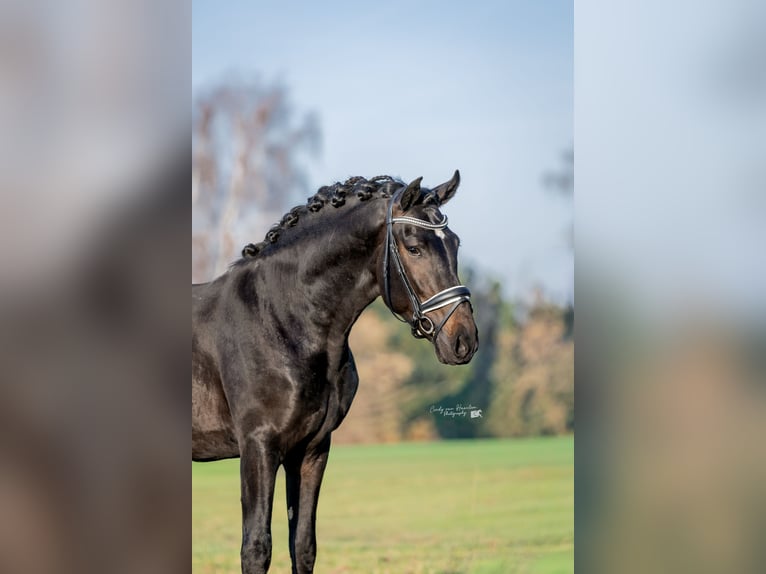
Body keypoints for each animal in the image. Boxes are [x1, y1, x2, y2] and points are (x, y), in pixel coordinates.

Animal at [192, 171, 479, 574]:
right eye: (414, 247)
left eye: (454, 243)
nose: (463, 339)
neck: (280, 318)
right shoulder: (258, 448)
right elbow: (257, 548)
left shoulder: (311, 450)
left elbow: (303, 546)